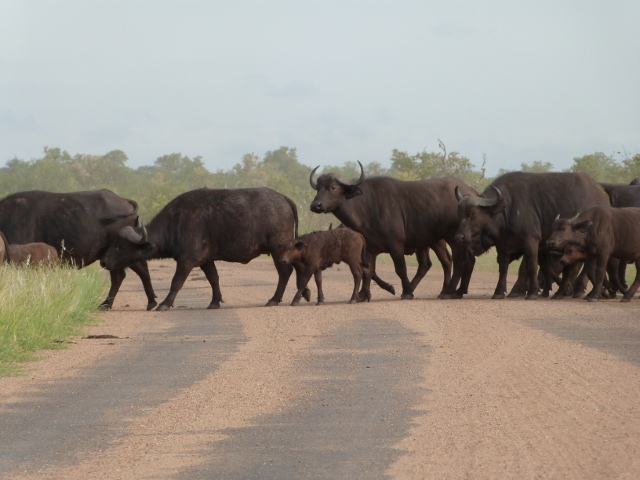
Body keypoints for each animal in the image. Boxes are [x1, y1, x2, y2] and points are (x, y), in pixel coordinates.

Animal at [101, 186, 306, 310]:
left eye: (119, 246)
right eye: (113, 243)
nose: (103, 262)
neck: (176, 223)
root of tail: (284, 198)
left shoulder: (187, 260)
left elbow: (176, 281)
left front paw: (165, 303)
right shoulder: (206, 261)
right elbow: (213, 279)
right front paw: (215, 302)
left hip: (278, 248)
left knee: (285, 271)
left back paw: (274, 299)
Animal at [456, 172, 608, 298]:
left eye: (473, 213)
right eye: (459, 212)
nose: (460, 237)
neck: (508, 209)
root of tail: (600, 192)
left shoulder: (530, 241)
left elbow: (531, 266)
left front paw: (532, 292)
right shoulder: (503, 244)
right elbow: (503, 268)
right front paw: (499, 292)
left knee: (577, 266)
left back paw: (571, 291)